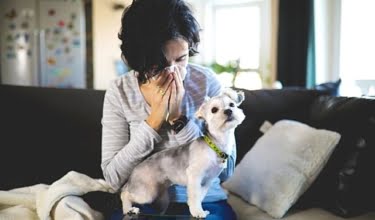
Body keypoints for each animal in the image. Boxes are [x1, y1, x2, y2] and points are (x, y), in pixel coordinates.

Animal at [121, 88, 247, 218]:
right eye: (214, 110)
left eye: (232, 104)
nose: (228, 111)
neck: (214, 146)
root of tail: (133, 173)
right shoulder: (194, 175)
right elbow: (195, 195)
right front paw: (197, 212)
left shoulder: (207, 181)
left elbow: (200, 196)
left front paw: (196, 208)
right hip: (147, 192)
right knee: (125, 193)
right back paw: (129, 209)